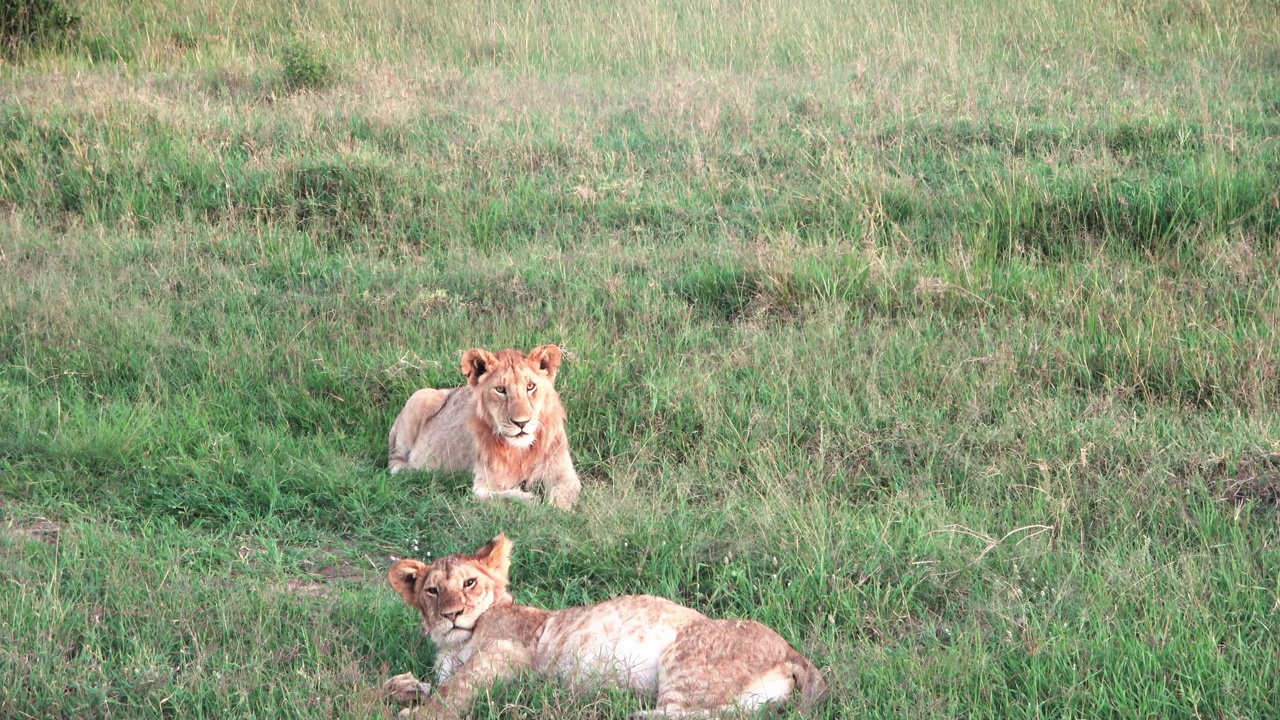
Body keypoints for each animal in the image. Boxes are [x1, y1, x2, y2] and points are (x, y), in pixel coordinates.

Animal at [381, 343, 578, 507]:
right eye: (500, 389)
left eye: (530, 386)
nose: (521, 422)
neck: (520, 452)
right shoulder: (481, 486)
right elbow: (503, 497)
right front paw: (532, 500)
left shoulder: (565, 476)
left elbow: (561, 499)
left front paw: (552, 510)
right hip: (422, 396)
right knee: (395, 463)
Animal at [384, 530, 834, 712]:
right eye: (432, 591)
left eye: (470, 583)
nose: (452, 615)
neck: (453, 645)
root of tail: (793, 651)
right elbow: (424, 684)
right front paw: (405, 688)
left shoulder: (508, 653)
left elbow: (454, 692)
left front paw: (419, 713)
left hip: (683, 661)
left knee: (683, 713)